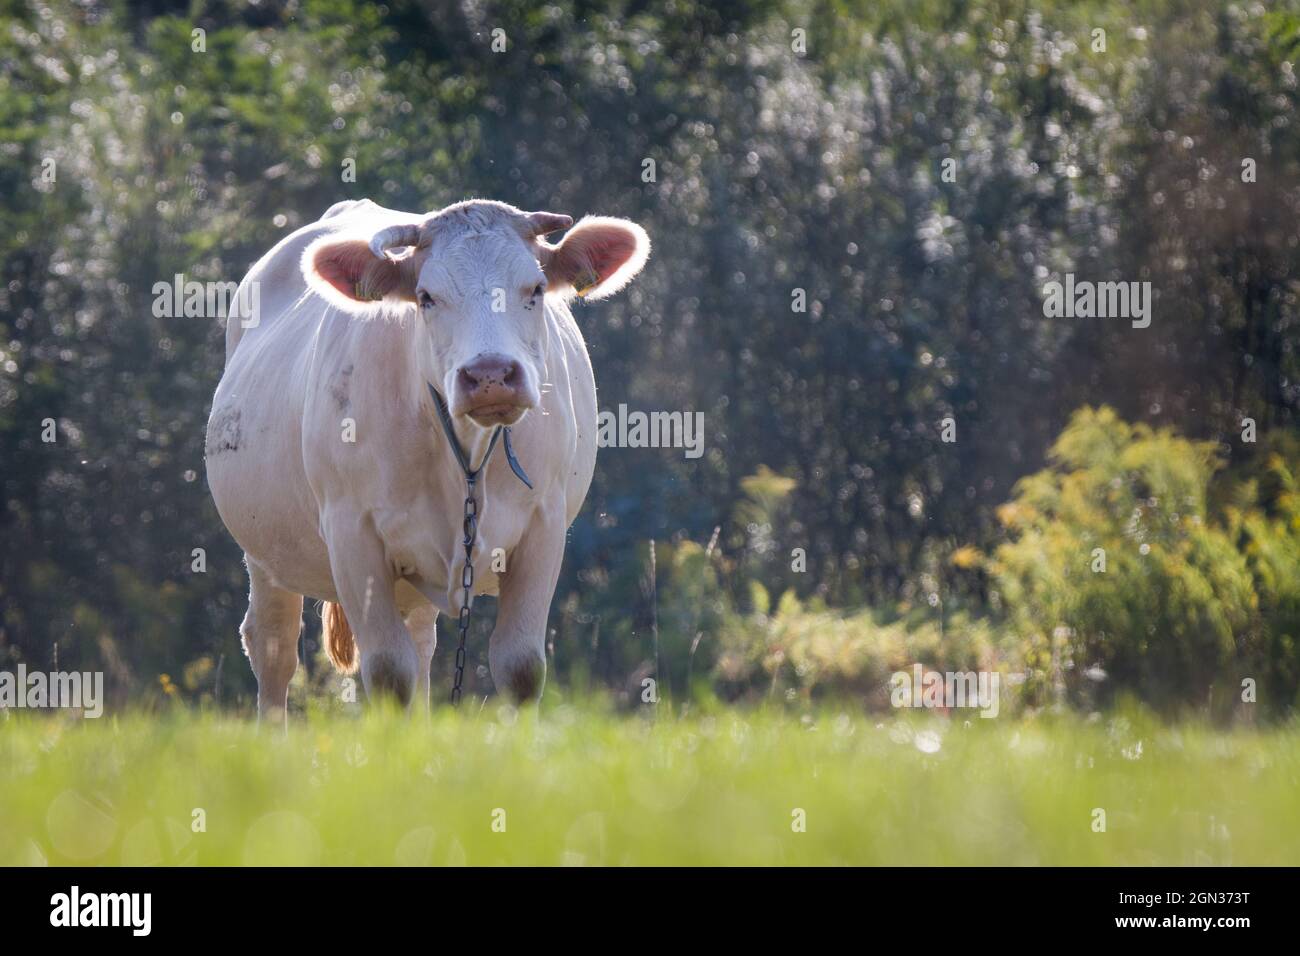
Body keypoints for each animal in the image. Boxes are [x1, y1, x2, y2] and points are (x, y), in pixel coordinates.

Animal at [205, 198, 649, 722]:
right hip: (264, 552)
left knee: (419, 645)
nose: (491, 375)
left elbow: (519, 667)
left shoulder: (544, 524)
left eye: (536, 289)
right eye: (427, 297)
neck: (464, 459)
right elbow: (387, 672)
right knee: (273, 650)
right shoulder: (352, 533)